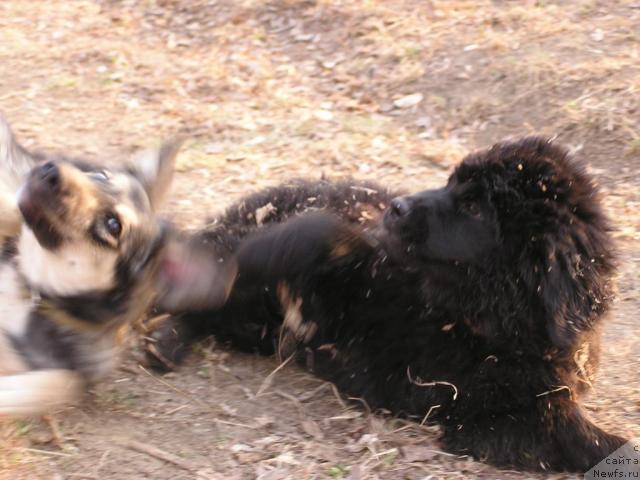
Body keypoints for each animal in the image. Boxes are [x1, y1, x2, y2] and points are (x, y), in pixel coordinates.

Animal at [0, 115, 230, 416]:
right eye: (100, 175)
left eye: (113, 225)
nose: (50, 169)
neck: (31, 288)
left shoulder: (68, 372)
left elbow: (59, 385)